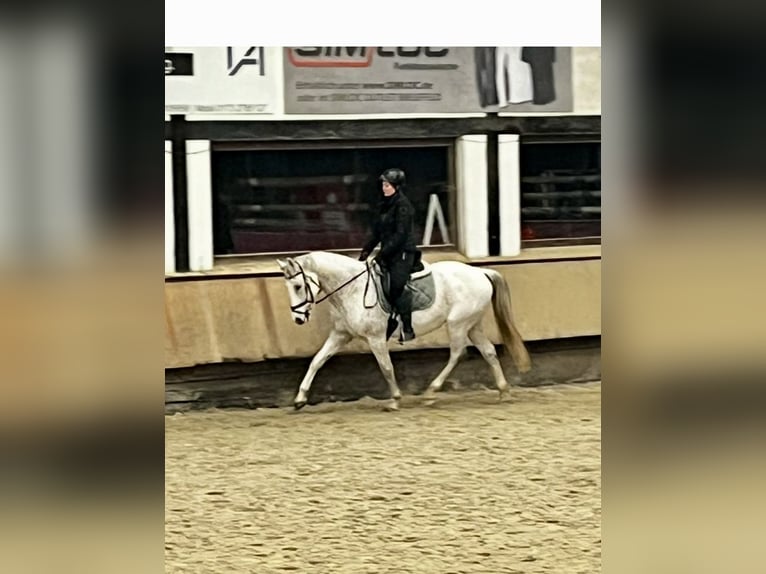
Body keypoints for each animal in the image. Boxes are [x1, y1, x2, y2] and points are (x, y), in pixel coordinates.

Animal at [278, 252, 536, 410]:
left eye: (298, 286)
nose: (298, 319)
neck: (353, 288)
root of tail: (480, 272)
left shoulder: (375, 338)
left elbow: (386, 367)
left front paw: (394, 400)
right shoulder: (341, 335)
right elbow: (317, 361)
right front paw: (300, 399)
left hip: (458, 323)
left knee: (458, 354)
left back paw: (431, 392)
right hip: (472, 324)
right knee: (489, 351)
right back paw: (503, 391)